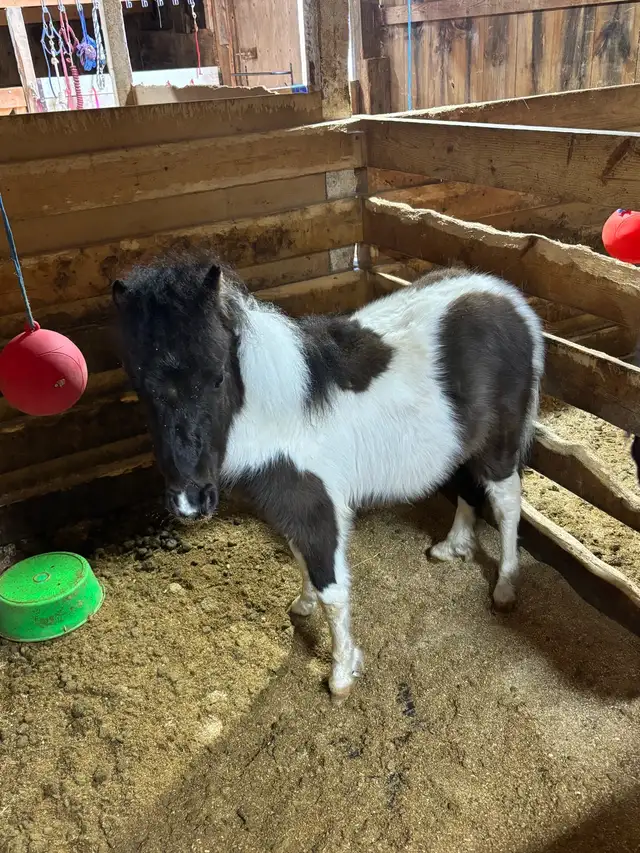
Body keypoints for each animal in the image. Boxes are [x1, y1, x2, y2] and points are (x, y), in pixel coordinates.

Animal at [112, 254, 545, 703]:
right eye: (140, 385)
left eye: (216, 376)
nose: (190, 501)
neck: (277, 415)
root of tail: (508, 298)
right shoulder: (289, 509)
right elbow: (300, 559)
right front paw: (302, 605)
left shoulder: (319, 508)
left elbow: (332, 590)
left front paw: (341, 674)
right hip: (463, 445)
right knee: (466, 488)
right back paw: (452, 546)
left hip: (499, 448)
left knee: (507, 504)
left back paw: (505, 587)